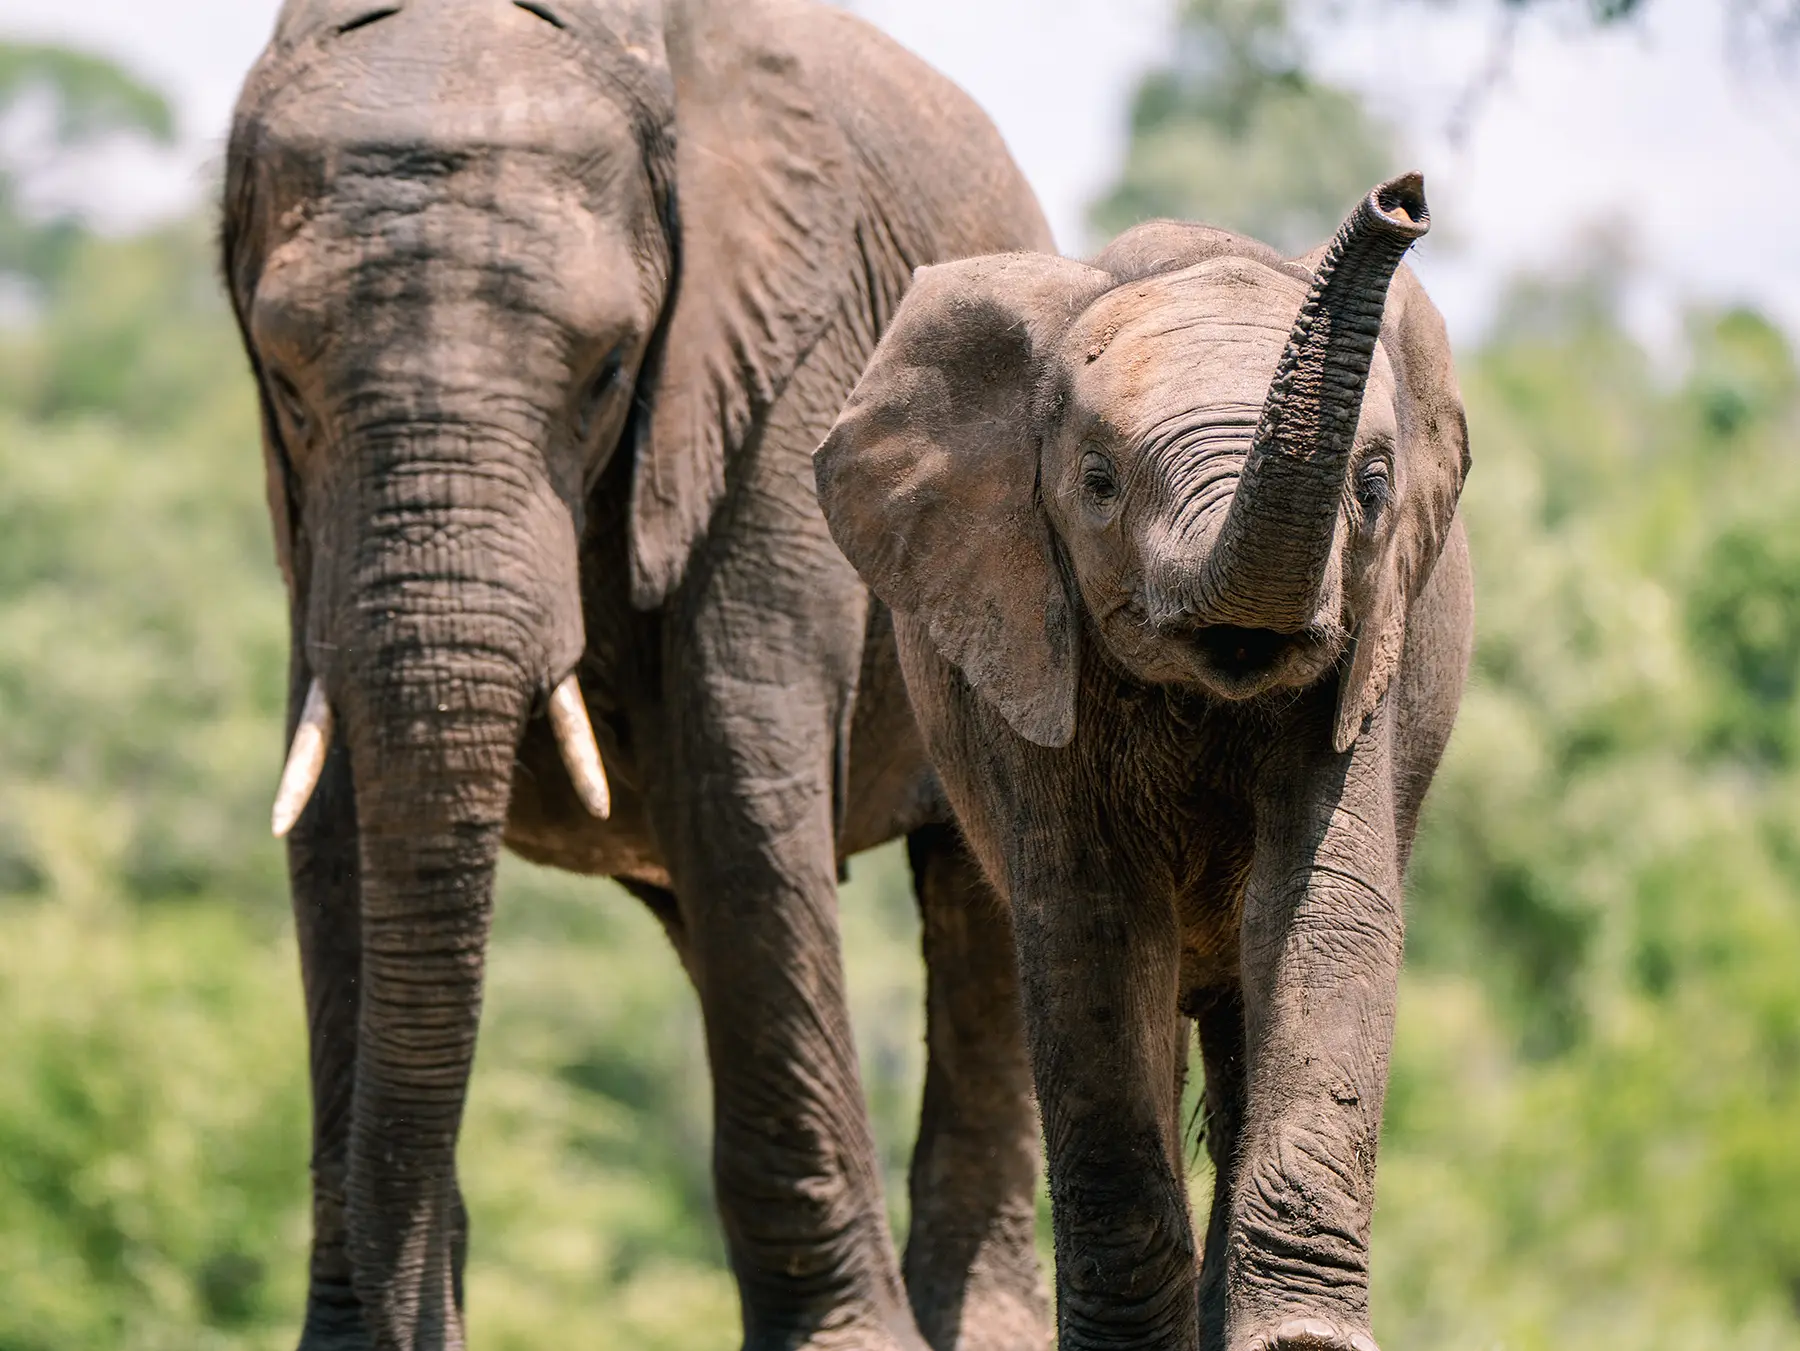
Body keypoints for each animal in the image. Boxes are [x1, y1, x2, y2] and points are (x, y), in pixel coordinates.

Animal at [219, 1, 1054, 1347]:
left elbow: (739, 775)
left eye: (611, 372)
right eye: (287, 385)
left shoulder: (780, 379)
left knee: (977, 895)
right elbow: (335, 817)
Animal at [814, 175, 1473, 1351]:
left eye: (1374, 487)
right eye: (1098, 482)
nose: (1402, 201)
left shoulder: (1374, 650)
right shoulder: (1025, 635)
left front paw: (1301, 1345)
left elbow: (1323, 913)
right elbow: (1094, 932)